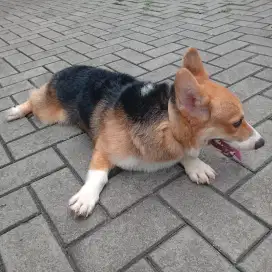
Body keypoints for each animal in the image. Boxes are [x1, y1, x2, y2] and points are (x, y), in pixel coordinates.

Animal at [6, 47, 264, 217]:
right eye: (237, 122)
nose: (262, 143)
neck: (166, 122)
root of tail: (66, 69)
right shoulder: (103, 149)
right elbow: (98, 176)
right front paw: (86, 197)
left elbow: (185, 154)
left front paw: (195, 166)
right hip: (48, 112)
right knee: (32, 98)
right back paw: (16, 110)